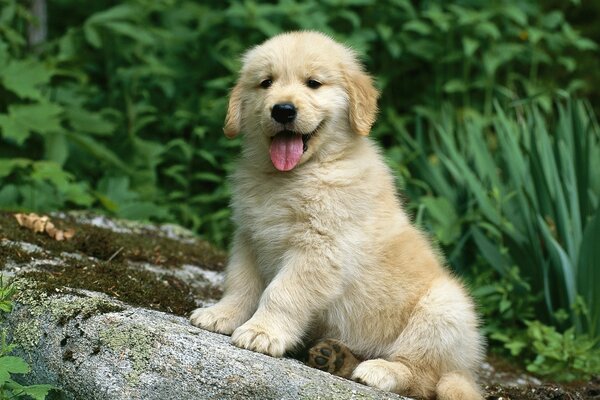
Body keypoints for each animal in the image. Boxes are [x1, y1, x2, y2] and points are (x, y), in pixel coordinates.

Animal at [190, 32, 486, 400]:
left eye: (313, 83)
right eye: (266, 83)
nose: (283, 110)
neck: (296, 175)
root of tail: (465, 371)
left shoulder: (320, 249)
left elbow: (280, 293)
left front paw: (262, 332)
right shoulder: (249, 238)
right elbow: (240, 284)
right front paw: (222, 315)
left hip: (444, 310)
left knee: (423, 377)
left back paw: (381, 370)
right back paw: (335, 357)